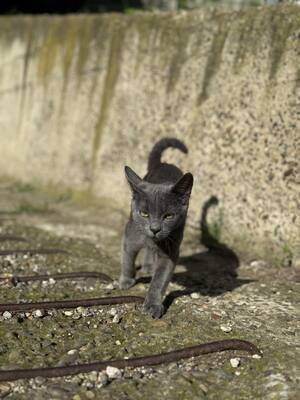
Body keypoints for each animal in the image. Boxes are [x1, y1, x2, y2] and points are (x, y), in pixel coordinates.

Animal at [118, 138, 193, 318]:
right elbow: (128, 258)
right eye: (144, 213)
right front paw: (126, 280)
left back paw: (148, 266)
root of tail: (163, 163)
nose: (154, 229)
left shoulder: (170, 250)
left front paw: (153, 305)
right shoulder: (131, 235)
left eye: (168, 216)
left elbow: (160, 280)